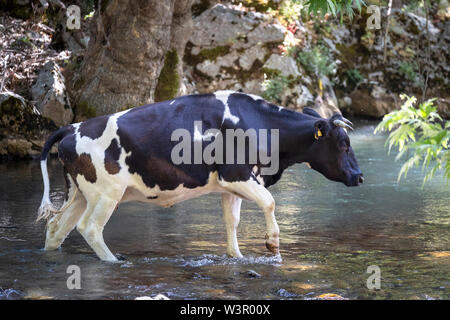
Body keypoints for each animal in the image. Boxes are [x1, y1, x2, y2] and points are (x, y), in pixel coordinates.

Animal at [37, 90, 364, 262]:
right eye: (343, 143)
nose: (360, 176)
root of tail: (73, 127)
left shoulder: (230, 187)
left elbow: (232, 221)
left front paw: (236, 256)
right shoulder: (236, 174)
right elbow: (270, 201)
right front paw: (272, 243)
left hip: (80, 193)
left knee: (57, 227)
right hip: (106, 193)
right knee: (89, 227)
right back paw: (114, 262)